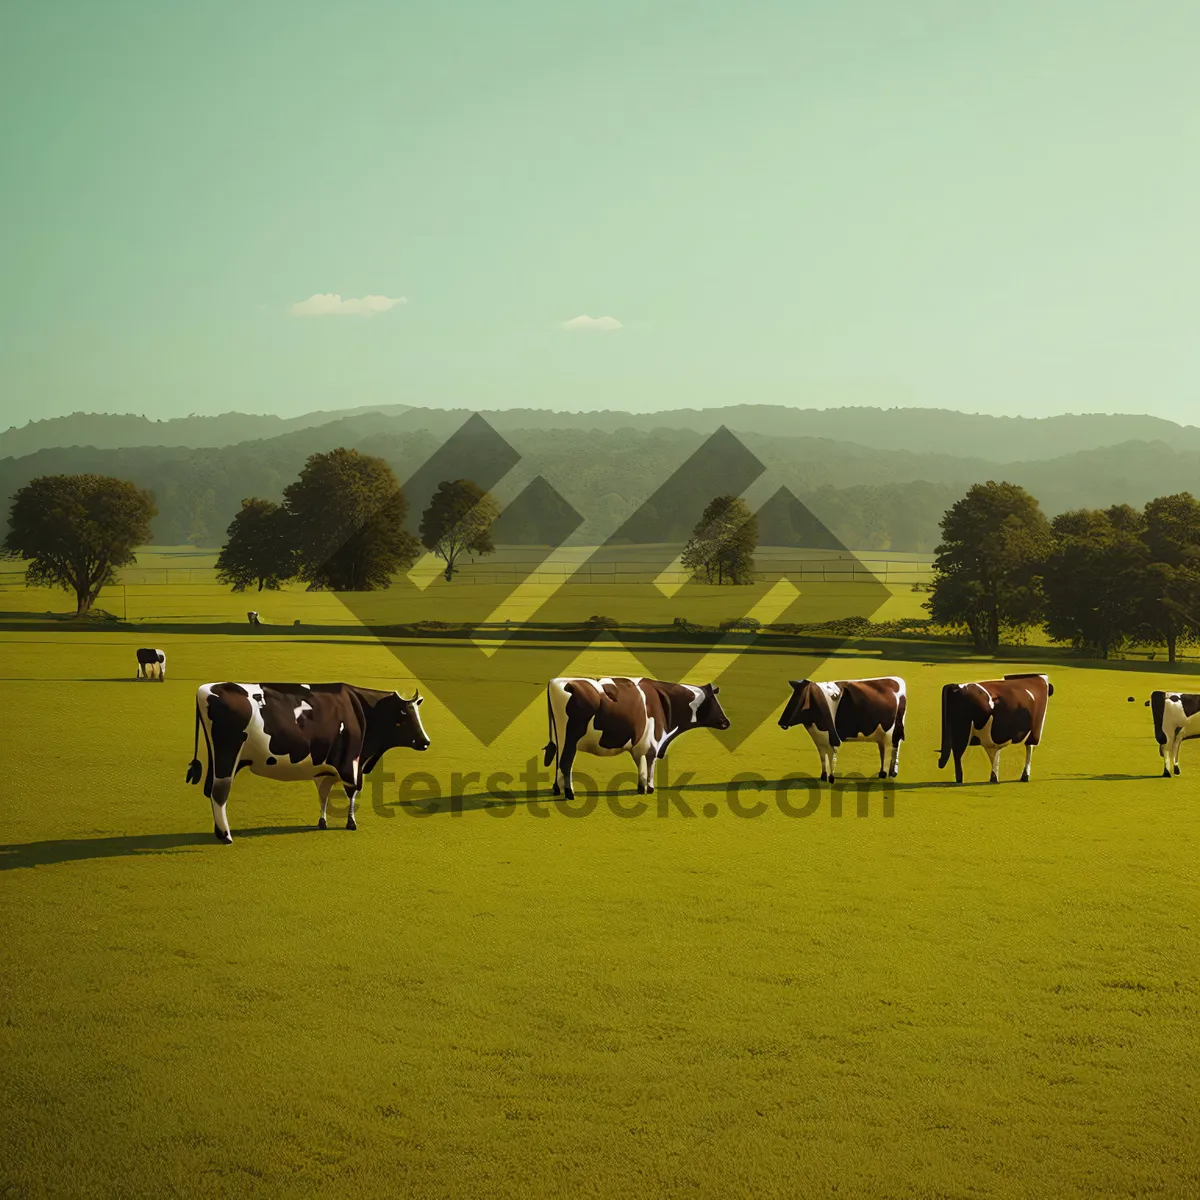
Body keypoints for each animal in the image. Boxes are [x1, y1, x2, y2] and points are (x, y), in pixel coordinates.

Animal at [184, 681, 429, 840]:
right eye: (406, 716)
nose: (426, 742)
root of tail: (206, 688)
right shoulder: (351, 763)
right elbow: (352, 792)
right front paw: (351, 823)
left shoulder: (326, 768)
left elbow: (324, 793)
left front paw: (322, 822)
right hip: (227, 757)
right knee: (219, 793)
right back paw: (226, 836)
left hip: (217, 759)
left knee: (210, 790)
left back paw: (219, 833)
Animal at [544, 676, 729, 796]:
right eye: (715, 702)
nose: (726, 722)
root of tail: (557, 681)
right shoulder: (653, 743)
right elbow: (650, 764)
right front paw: (650, 788)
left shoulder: (640, 745)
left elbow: (641, 765)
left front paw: (642, 788)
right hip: (570, 738)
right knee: (566, 762)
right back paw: (570, 794)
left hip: (561, 739)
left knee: (559, 762)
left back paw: (558, 790)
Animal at [777, 681, 907, 782]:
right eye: (792, 698)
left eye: (799, 699)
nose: (781, 722)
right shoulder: (819, 740)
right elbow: (823, 757)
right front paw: (823, 777)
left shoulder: (831, 738)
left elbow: (830, 757)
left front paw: (831, 778)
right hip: (886, 734)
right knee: (888, 749)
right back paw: (889, 773)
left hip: (890, 732)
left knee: (890, 749)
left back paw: (884, 774)